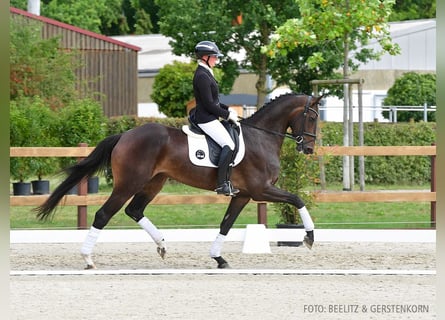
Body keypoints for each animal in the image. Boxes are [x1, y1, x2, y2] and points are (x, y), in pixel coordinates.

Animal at [34, 92, 320, 268]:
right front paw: (308, 237)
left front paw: (218, 258)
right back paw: (88, 259)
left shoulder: (244, 194)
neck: (261, 137)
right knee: (104, 214)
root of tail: (125, 135)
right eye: (313, 116)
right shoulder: (261, 190)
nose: (308, 149)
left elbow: (226, 224)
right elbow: (297, 199)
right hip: (129, 183)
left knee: (134, 210)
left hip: (154, 182)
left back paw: (161, 245)